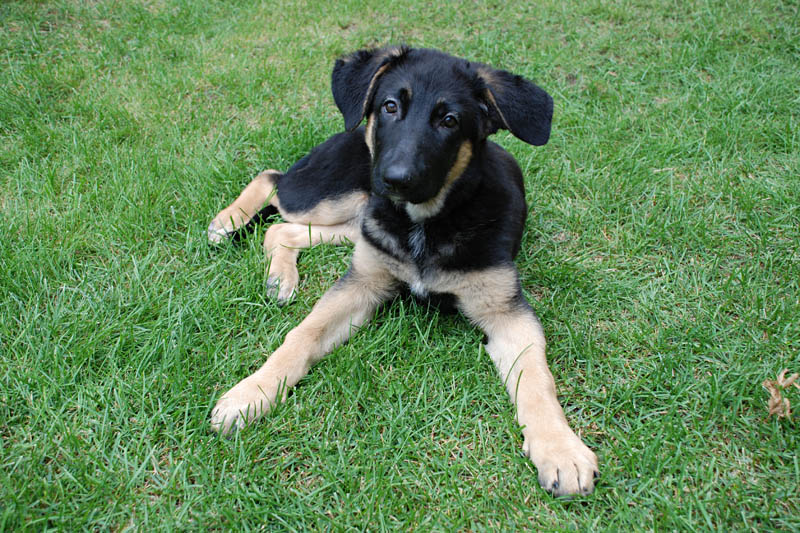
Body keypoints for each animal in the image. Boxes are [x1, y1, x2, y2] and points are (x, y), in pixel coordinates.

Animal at [209, 46, 596, 498]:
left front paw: (561, 449)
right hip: (343, 195)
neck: (426, 223)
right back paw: (226, 223)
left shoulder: (506, 312)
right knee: (272, 180)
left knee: (279, 226)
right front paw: (251, 392)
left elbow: (537, 380)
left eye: (450, 121)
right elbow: (302, 335)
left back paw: (278, 276)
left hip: (358, 216)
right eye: (390, 107)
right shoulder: (362, 282)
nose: (395, 180)